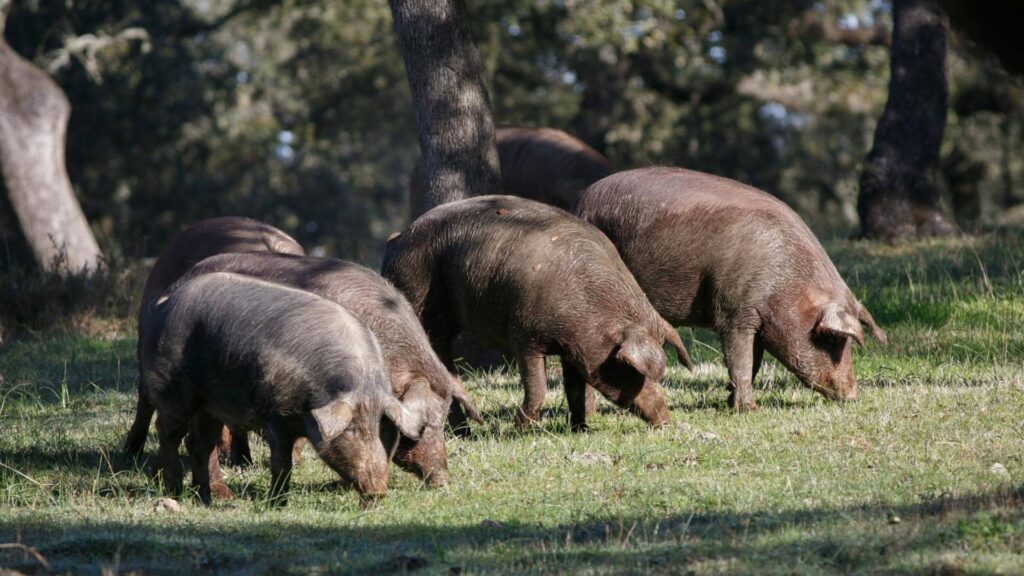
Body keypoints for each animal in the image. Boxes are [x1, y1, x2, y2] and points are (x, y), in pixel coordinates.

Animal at [139, 272, 428, 505]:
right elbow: (282, 463)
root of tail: (166, 301)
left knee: (200, 443)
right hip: (172, 389)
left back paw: (206, 500)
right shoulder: (277, 414)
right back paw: (175, 493)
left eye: (382, 430)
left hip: (209, 405)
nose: (377, 491)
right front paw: (276, 505)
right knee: (168, 433)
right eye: (352, 430)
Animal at [383, 196, 691, 431]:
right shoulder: (525, 336)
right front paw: (517, 431)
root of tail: (397, 238)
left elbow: (576, 389)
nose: (666, 421)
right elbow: (538, 387)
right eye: (632, 369)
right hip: (418, 295)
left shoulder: (573, 349)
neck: (591, 311)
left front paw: (580, 429)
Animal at [575, 167, 887, 412]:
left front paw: (731, 402)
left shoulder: (756, 320)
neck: (788, 286)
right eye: (832, 339)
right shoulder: (734, 312)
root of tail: (584, 199)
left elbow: (754, 362)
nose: (853, 395)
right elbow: (740, 360)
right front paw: (749, 409)